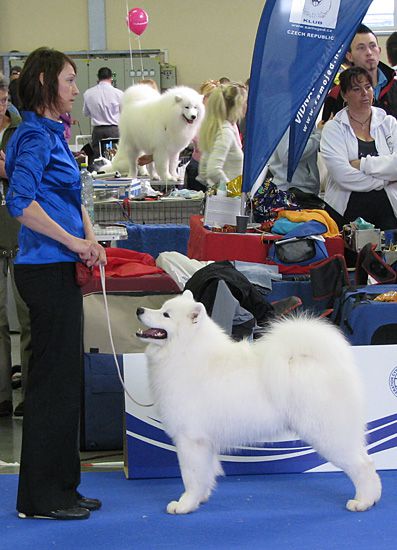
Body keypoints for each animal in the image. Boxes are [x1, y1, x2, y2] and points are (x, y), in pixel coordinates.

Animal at [136, 294, 380, 516]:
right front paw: (201, 499)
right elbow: (205, 474)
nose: (139, 309)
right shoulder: (205, 442)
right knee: (367, 460)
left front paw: (185, 504)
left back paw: (363, 502)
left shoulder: (190, 439)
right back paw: (373, 497)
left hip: (327, 434)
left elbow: (191, 476)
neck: (186, 352)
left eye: (166, 315)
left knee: (362, 465)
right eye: (161, 308)